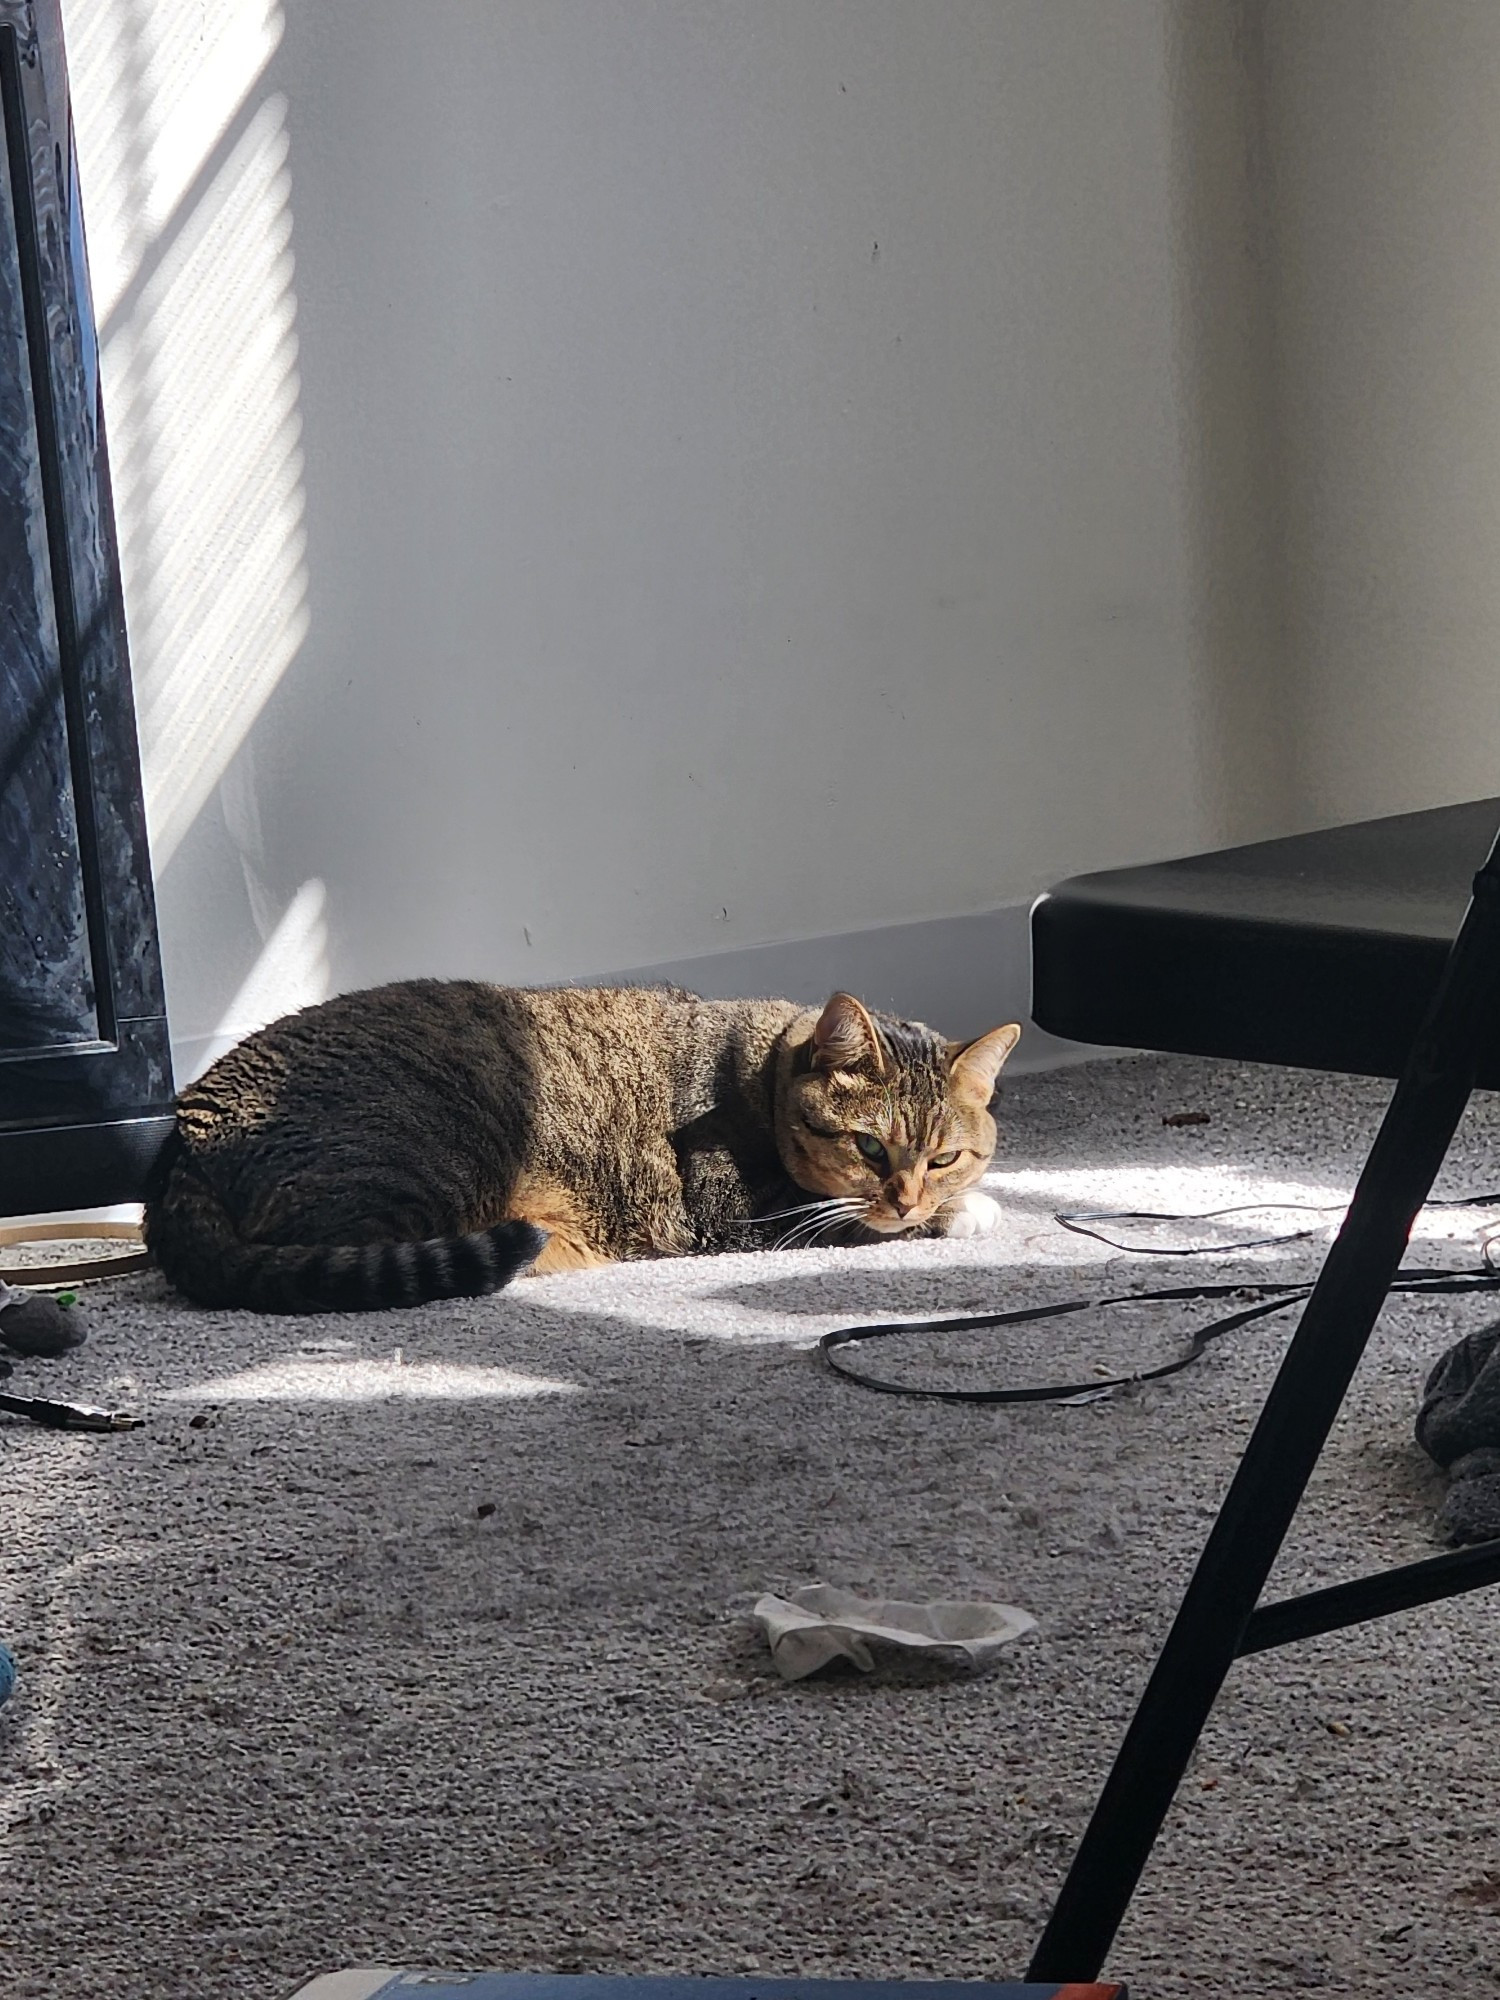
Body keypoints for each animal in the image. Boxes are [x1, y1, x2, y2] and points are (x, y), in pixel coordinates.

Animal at [147, 980, 1024, 1312]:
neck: (762, 1068)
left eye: (943, 1156)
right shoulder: (744, 1213)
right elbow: (849, 1221)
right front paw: (964, 1214)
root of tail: (184, 1129)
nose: (909, 1194)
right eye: (870, 1149)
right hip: (422, 1160)